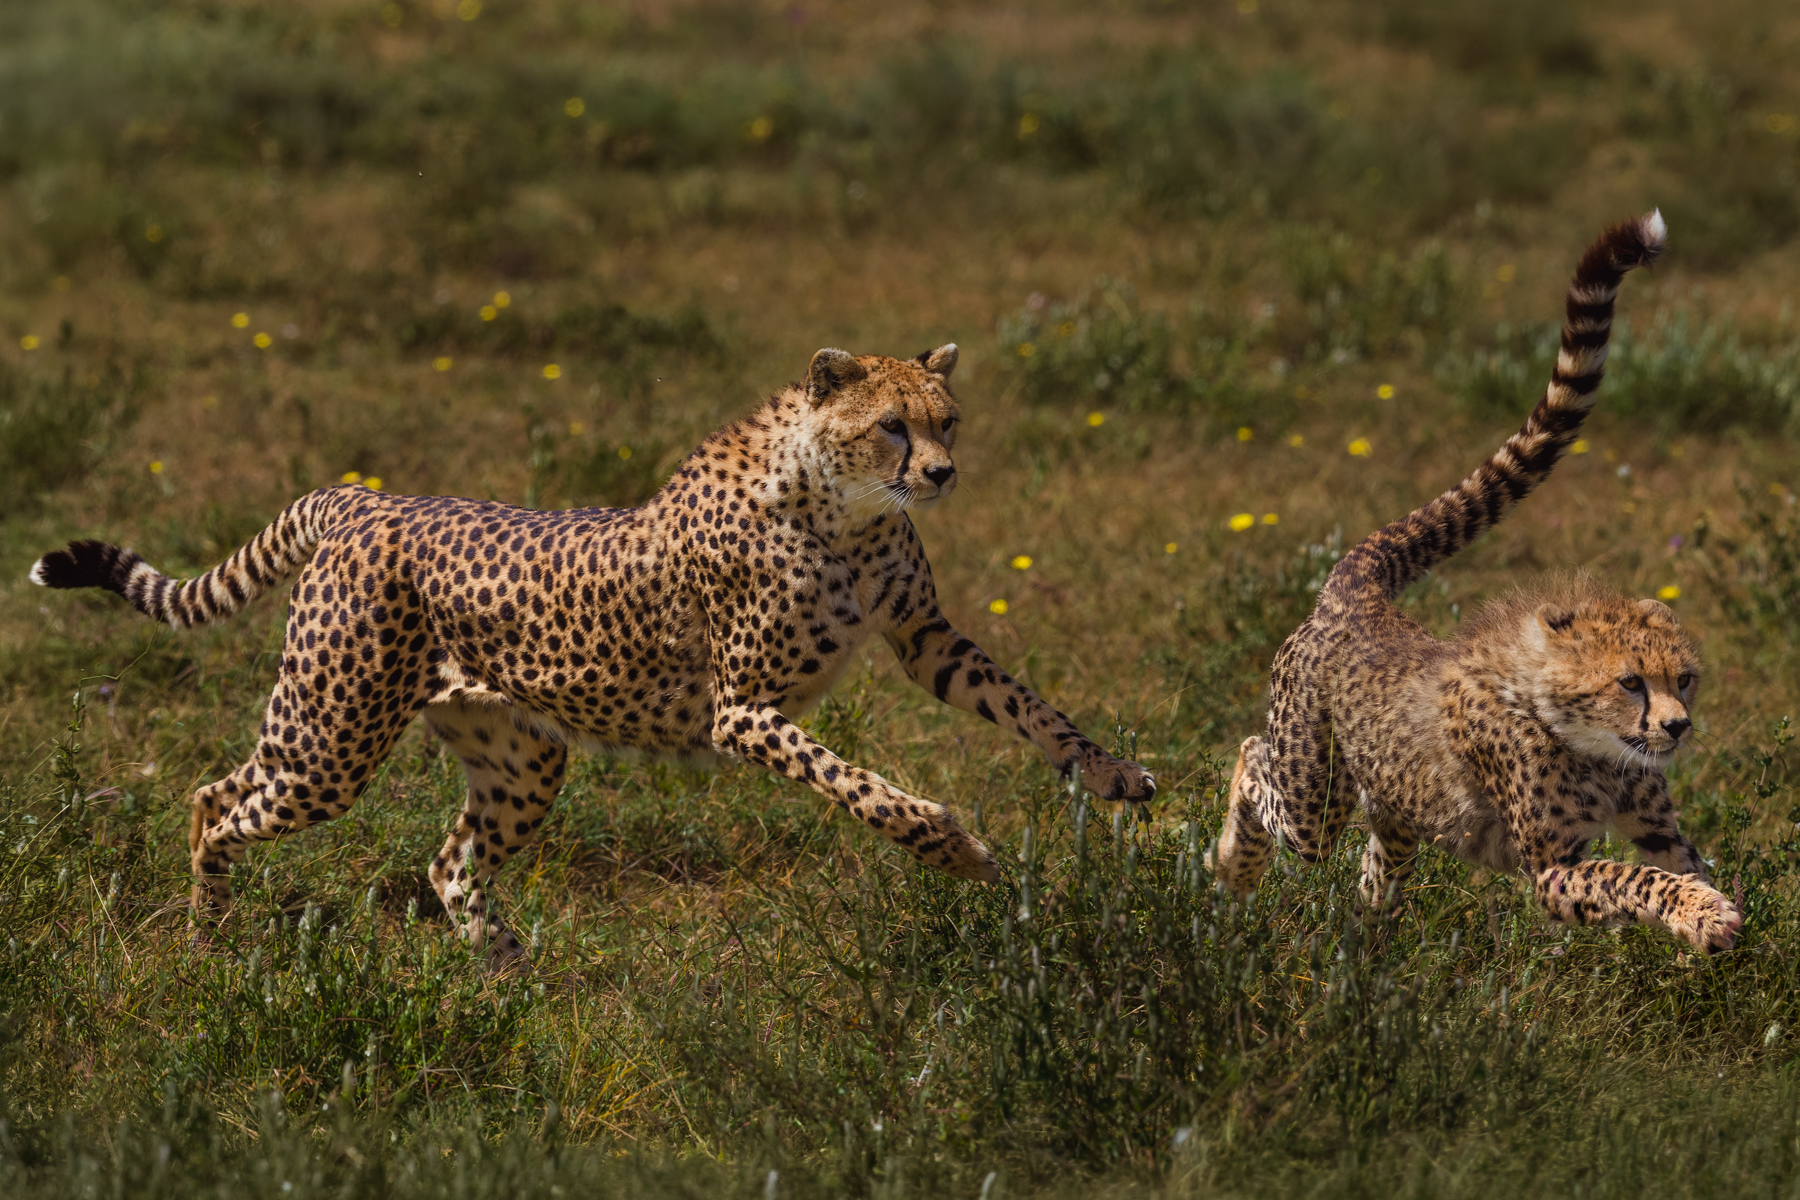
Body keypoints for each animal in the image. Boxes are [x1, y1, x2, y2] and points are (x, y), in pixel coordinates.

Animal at [32, 343, 1156, 967]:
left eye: (948, 420)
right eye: (891, 426)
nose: (943, 473)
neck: (846, 508)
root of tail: (364, 498)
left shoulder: (925, 640)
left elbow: (1030, 705)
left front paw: (1113, 774)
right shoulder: (742, 714)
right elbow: (861, 788)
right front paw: (952, 847)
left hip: (522, 757)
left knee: (445, 862)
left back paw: (502, 969)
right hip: (330, 739)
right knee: (214, 803)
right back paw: (210, 937)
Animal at [1210, 209, 1743, 955]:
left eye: (1684, 679)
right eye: (1630, 682)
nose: (1678, 726)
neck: (1588, 742)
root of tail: (1358, 599)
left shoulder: (1657, 828)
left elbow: (1683, 866)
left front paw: (1718, 921)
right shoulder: (1552, 867)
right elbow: (1633, 879)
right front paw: (1702, 913)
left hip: (1396, 809)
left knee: (1375, 870)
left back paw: (1365, 949)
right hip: (1313, 789)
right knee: (1254, 759)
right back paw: (1233, 863)